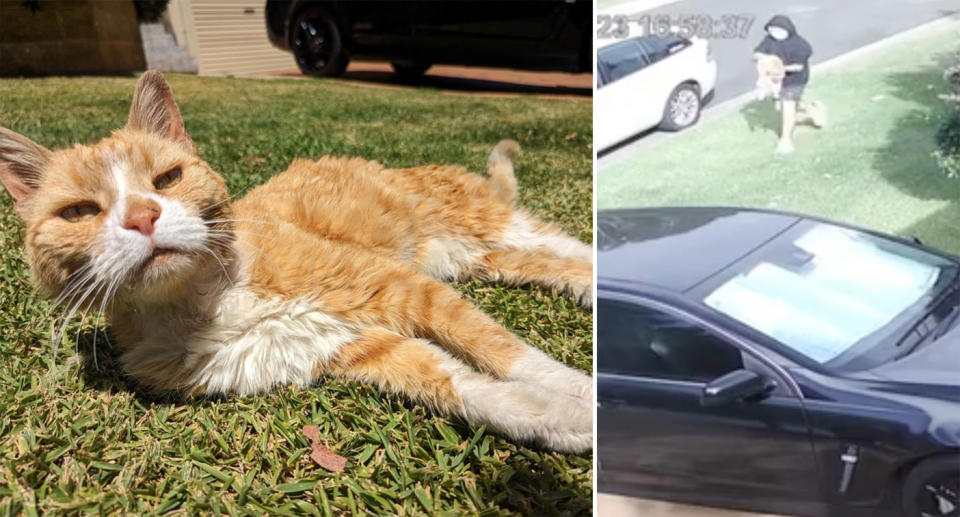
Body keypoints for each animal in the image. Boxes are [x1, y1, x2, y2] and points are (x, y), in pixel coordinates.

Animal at [0, 71, 592, 452]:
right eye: (79, 211)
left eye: (167, 178)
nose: (144, 217)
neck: (210, 302)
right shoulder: (352, 347)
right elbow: (467, 388)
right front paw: (563, 419)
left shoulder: (402, 287)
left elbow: (505, 351)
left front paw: (582, 391)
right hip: (480, 258)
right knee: (553, 264)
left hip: (480, 223)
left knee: (571, 246)